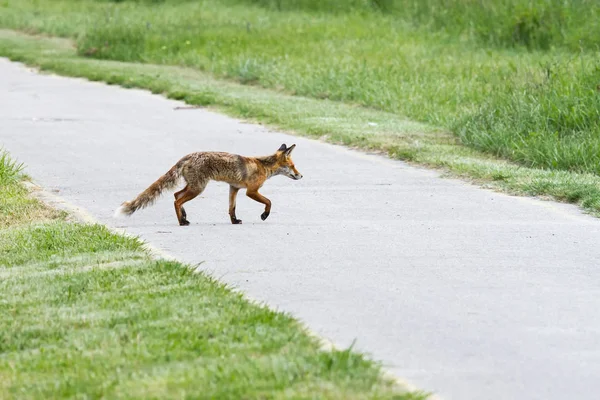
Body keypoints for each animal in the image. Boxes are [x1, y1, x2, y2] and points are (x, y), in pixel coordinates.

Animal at [113, 144, 302, 225]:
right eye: (293, 166)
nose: (301, 175)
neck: (263, 165)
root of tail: (188, 156)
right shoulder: (251, 191)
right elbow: (269, 202)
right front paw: (264, 215)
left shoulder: (234, 188)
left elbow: (231, 208)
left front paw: (234, 221)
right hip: (198, 188)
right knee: (177, 200)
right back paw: (181, 222)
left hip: (193, 186)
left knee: (176, 195)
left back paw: (184, 217)